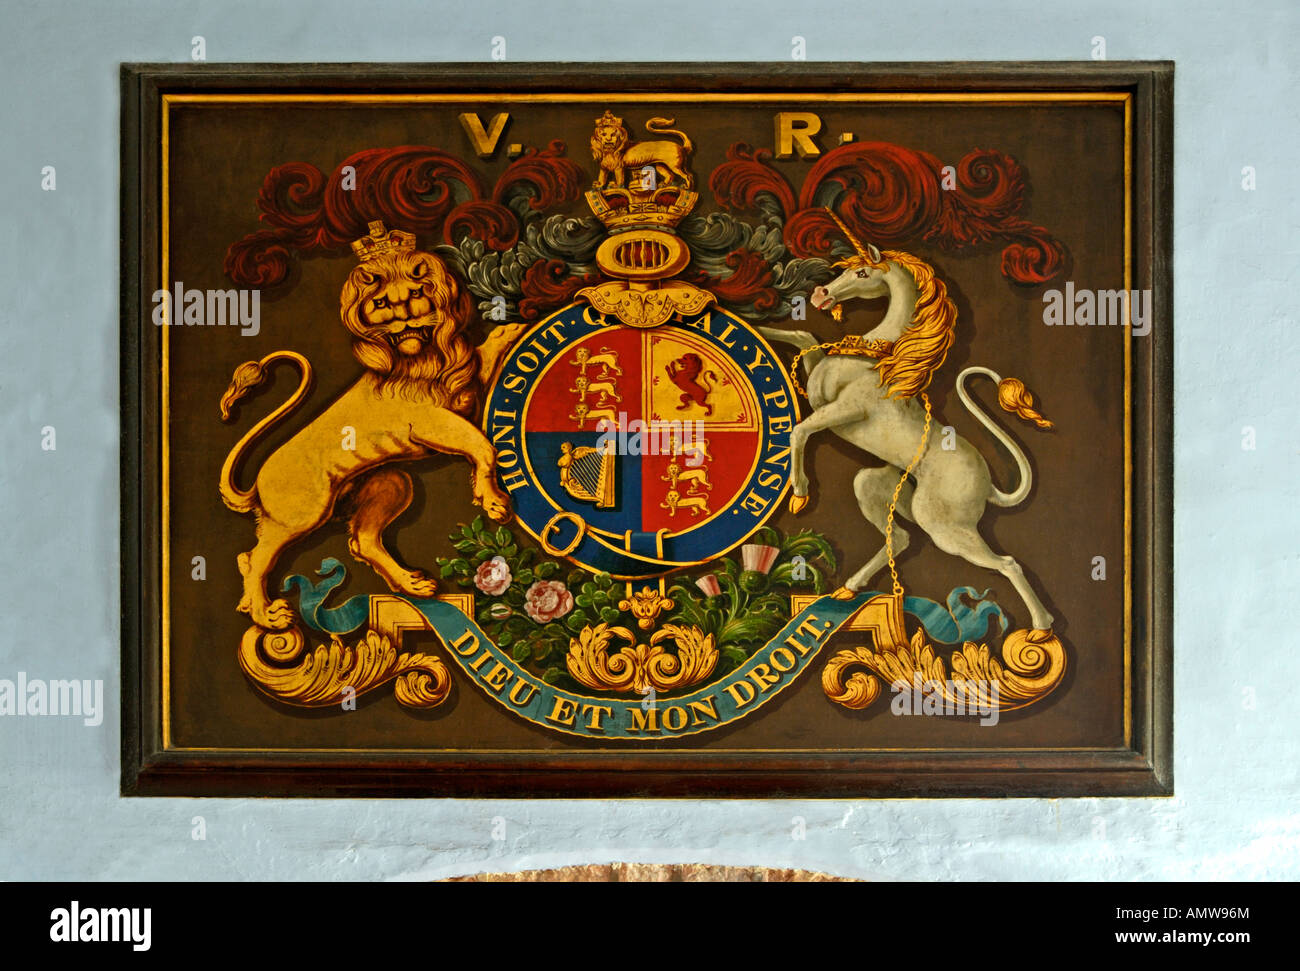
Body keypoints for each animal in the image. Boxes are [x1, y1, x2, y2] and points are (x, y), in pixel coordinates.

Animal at [218, 222, 522, 631]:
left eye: (416, 293)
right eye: (380, 305)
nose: (404, 320)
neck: (424, 356)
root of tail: (258, 486)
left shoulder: (462, 395)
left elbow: (489, 351)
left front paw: (514, 328)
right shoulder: (432, 422)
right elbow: (483, 447)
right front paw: (495, 504)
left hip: (389, 482)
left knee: (361, 540)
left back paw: (413, 584)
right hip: (302, 513)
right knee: (255, 558)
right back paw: (268, 615)